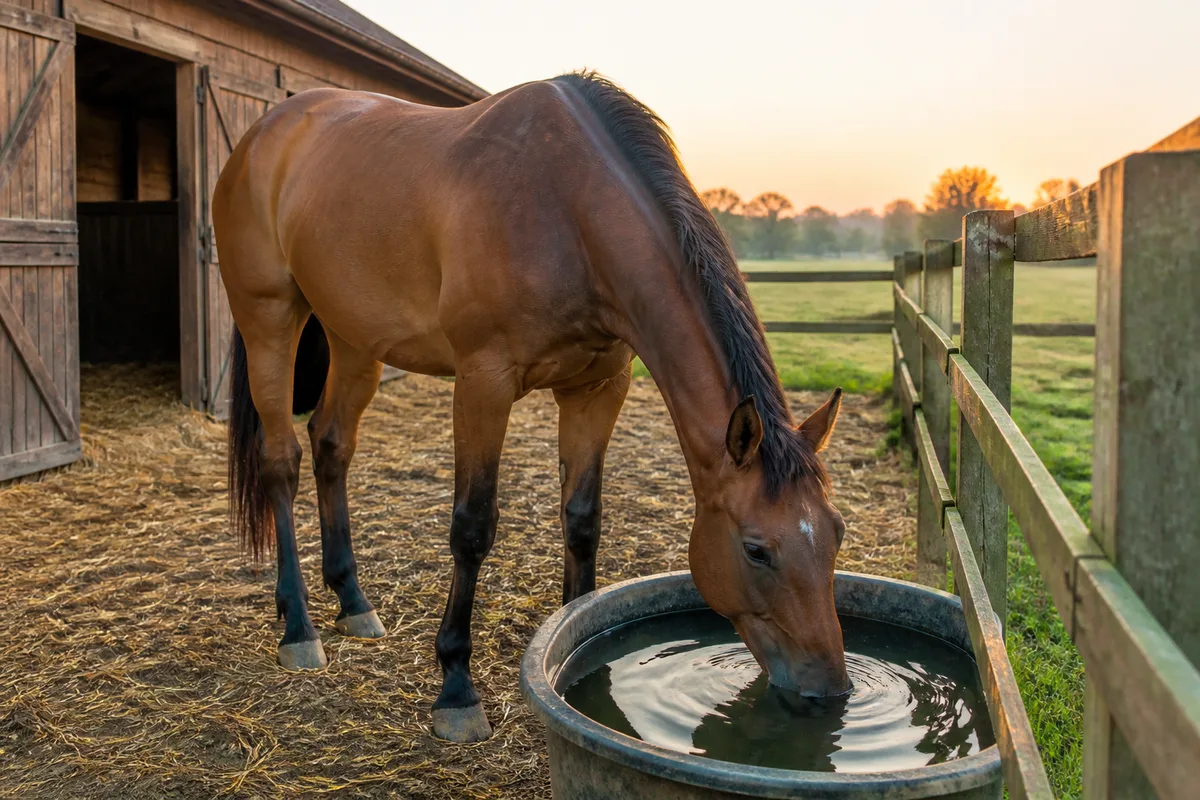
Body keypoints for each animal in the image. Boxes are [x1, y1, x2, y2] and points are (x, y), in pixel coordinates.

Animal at [215, 71, 850, 744]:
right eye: (757, 550)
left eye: (836, 532)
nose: (828, 692)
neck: (567, 209)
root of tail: (262, 135)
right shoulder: (483, 383)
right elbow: (472, 527)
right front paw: (456, 689)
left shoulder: (598, 389)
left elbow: (582, 518)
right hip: (269, 321)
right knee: (280, 461)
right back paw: (299, 627)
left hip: (355, 339)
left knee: (331, 445)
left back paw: (353, 603)